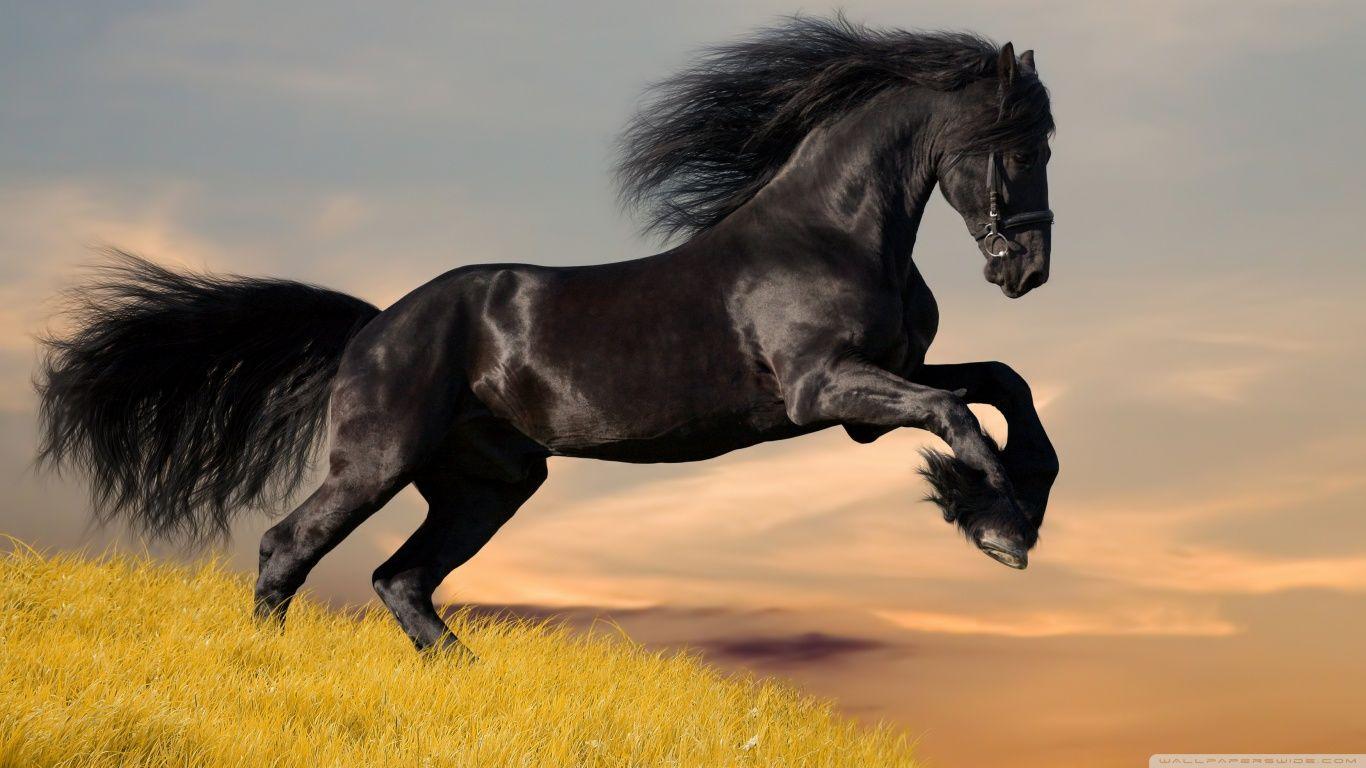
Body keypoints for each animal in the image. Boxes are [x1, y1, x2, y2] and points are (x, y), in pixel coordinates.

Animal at [36, 16, 1059, 654]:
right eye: (1018, 146)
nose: (1029, 271)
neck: (831, 231)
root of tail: (374, 327)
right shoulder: (825, 391)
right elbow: (958, 416)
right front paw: (997, 525)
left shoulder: (876, 388)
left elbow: (1002, 384)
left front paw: (1014, 503)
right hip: (378, 461)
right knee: (289, 547)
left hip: (488, 483)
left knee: (401, 579)